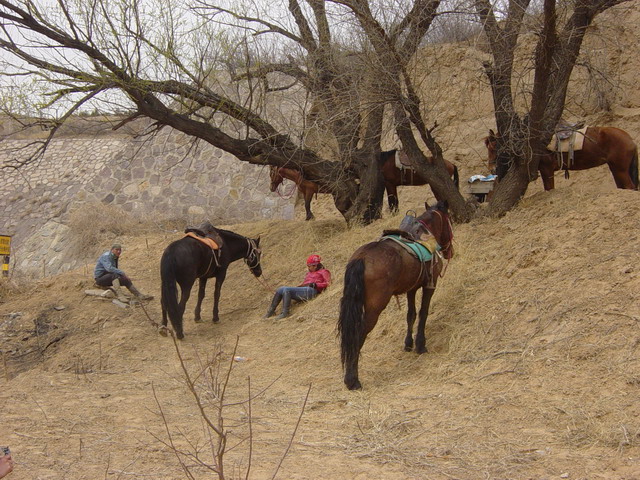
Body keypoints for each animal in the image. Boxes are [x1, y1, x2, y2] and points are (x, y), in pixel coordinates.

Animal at [336, 199, 456, 390]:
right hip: (375, 307)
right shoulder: (430, 285)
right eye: (449, 219)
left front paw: (408, 343)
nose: (449, 251)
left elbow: (411, 314)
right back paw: (352, 380)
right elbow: (423, 313)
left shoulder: (411, 288)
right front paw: (420, 345)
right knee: (359, 334)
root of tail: (361, 258)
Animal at [484, 128, 640, 190]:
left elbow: (549, 188)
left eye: (492, 148)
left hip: (620, 170)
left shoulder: (547, 171)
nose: (492, 169)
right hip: (615, 169)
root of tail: (630, 140)